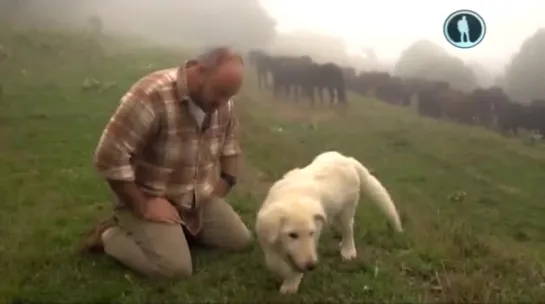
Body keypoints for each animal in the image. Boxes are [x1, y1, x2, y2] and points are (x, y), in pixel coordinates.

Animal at [253, 151, 402, 294]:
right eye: (292, 235)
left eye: (311, 233)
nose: (312, 266)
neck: (293, 197)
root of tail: (348, 159)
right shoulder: (266, 238)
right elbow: (274, 261)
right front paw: (283, 272)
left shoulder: (314, 237)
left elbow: (293, 267)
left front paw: (290, 283)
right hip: (334, 213)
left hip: (347, 209)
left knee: (348, 230)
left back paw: (348, 251)